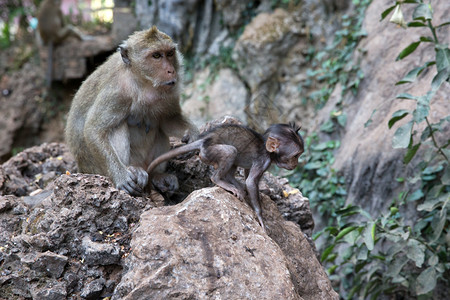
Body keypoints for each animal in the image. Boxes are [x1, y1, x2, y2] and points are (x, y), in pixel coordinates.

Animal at [65, 26, 199, 197]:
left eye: (169, 53)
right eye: (156, 56)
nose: (171, 70)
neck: (142, 83)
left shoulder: (169, 93)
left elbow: (168, 119)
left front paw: (193, 135)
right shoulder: (116, 93)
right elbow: (94, 129)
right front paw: (121, 176)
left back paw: (157, 175)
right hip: (100, 169)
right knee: (116, 127)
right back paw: (133, 170)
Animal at [148, 123, 306, 231]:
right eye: (295, 155)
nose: (296, 164)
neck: (268, 150)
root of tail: (204, 141)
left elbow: (248, 176)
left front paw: (248, 189)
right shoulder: (264, 161)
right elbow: (250, 181)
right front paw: (261, 218)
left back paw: (236, 186)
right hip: (210, 153)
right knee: (230, 152)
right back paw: (221, 181)